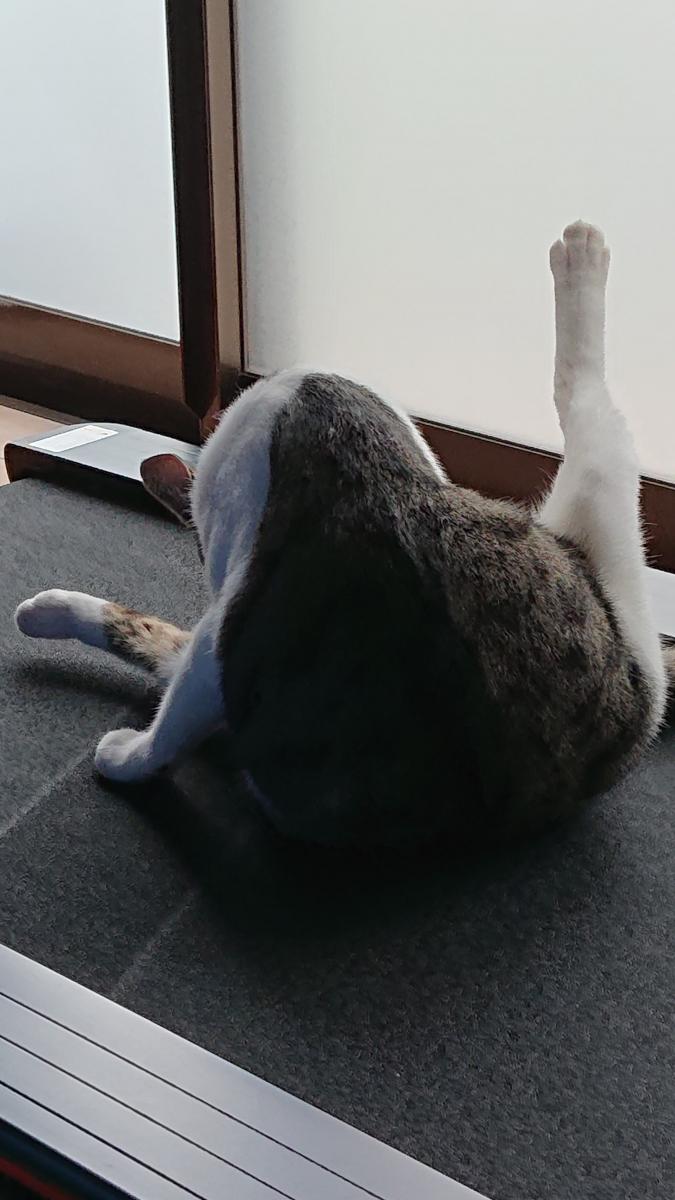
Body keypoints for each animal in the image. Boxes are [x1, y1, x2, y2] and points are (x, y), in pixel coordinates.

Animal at [15, 222, 673, 845]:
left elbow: (174, 698)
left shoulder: (227, 634)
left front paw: (125, 756)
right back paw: (582, 258)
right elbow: (148, 635)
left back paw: (579, 256)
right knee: (599, 423)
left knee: (592, 410)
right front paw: (46, 612)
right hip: (609, 584)